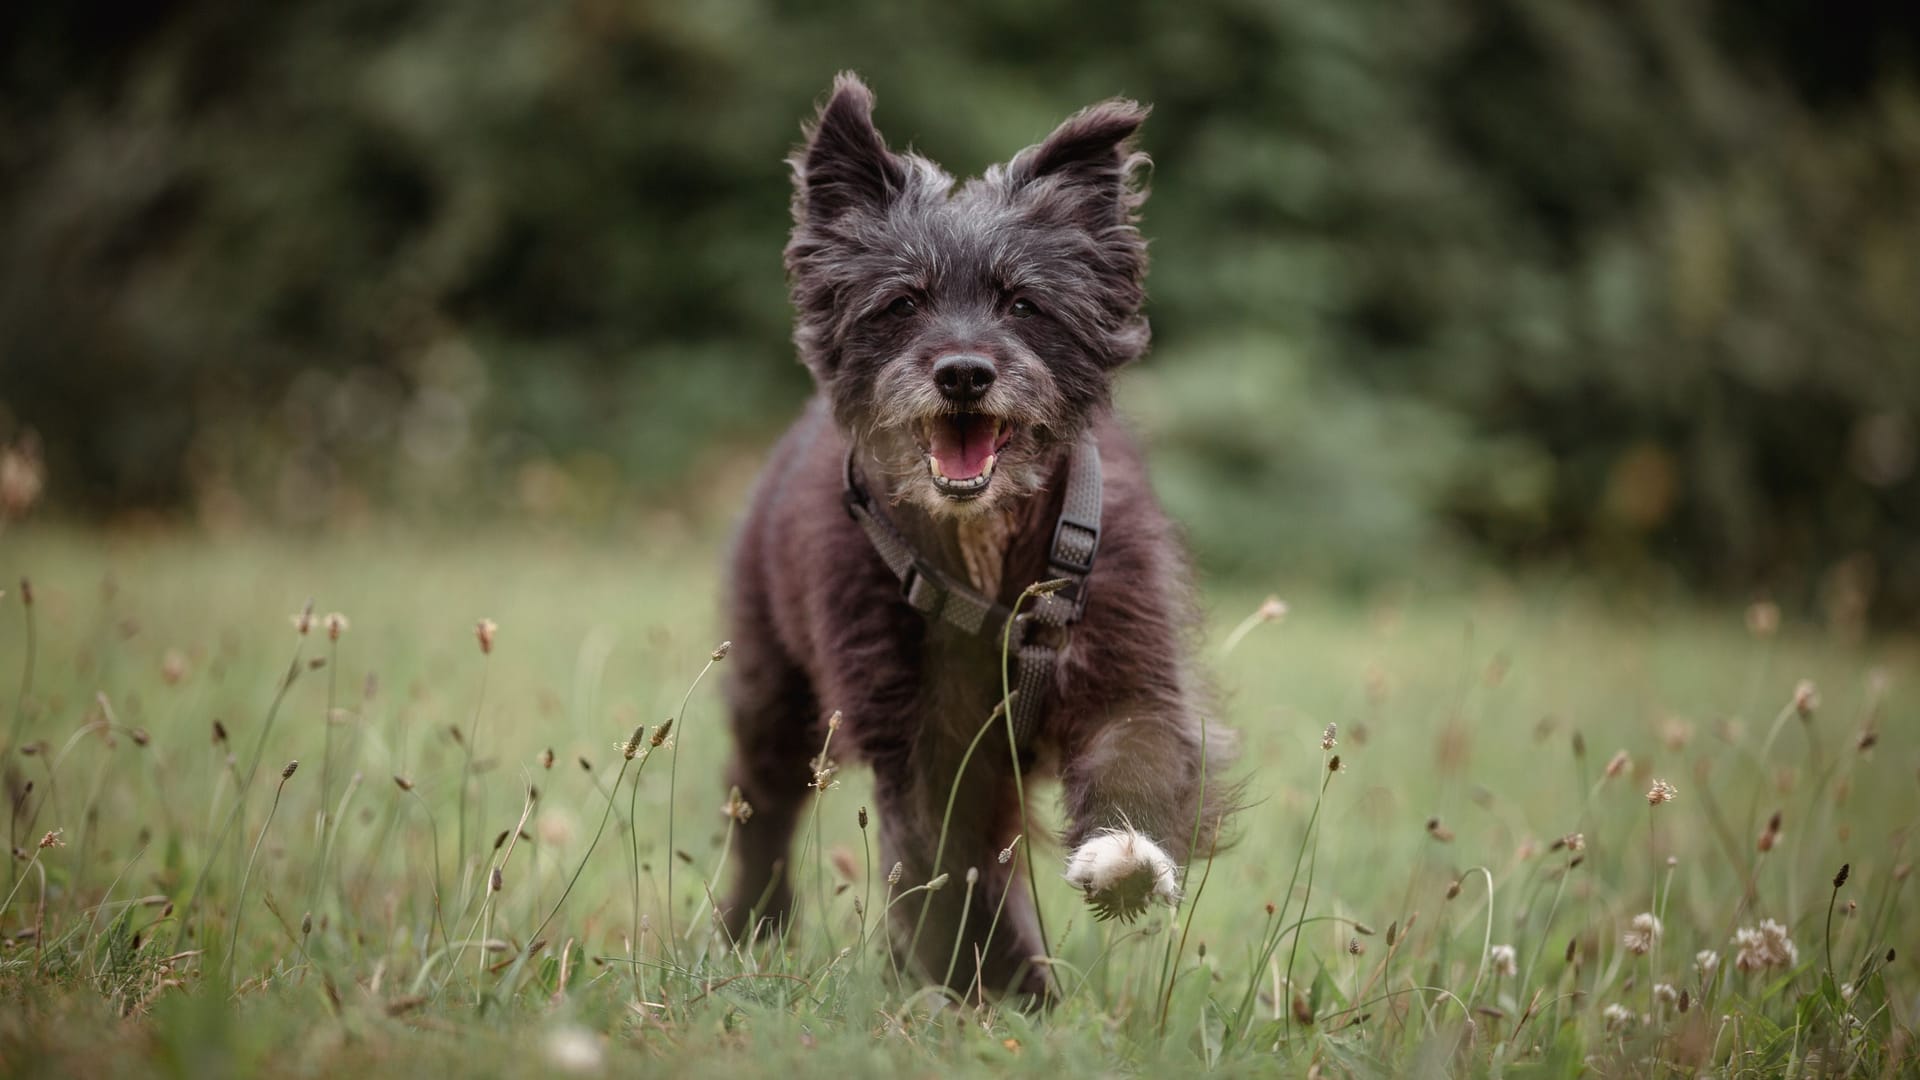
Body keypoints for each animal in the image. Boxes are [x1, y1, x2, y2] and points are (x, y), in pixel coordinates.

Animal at [721, 75, 1244, 999]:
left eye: (1024, 303)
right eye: (902, 302)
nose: (963, 372)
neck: (986, 548)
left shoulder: (1128, 662)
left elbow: (1141, 750)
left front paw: (1124, 858)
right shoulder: (920, 741)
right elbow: (955, 875)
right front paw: (1000, 993)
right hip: (771, 690)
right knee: (764, 809)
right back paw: (752, 928)